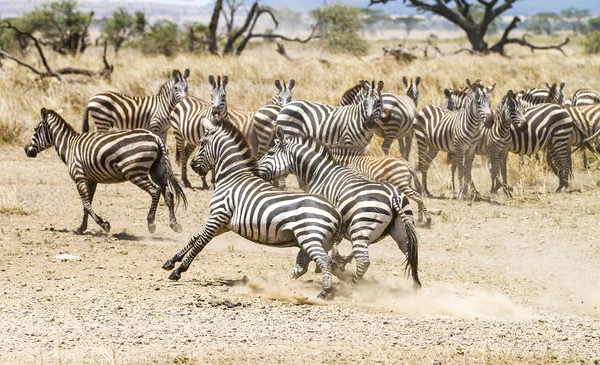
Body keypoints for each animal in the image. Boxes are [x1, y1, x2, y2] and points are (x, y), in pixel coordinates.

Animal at [24, 107, 186, 233]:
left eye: (35, 129)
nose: (26, 149)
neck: (69, 146)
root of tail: (155, 138)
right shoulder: (91, 180)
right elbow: (87, 204)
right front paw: (81, 228)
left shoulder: (79, 177)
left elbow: (86, 204)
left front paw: (104, 225)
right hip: (157, 169)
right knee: (168, 194)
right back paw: (174, 225)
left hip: (135, 171)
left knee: (155, 190)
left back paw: (151, 223)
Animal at [162, 116, 344, 298]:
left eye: (201, 142)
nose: (193, 166)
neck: (232, 177)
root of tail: (336, 213)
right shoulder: (225, 223)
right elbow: (195, 237)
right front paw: (171, 261)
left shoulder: (218, 215)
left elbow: (200, 243)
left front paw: (178, 270)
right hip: (315, 241)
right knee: (305, 266)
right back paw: (279, 285)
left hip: (309, 237)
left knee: (324, 260)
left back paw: (323, 293)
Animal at [258, 127, 422, 290]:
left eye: (270, 153)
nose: (255, 170)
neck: (318, 172)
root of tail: (393, 196)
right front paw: (335, 265)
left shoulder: (319, 213)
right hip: (401, 232)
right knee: (411, 255)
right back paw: (416, 289)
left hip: (362, 227)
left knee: (364, 261)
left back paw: (350, 289)